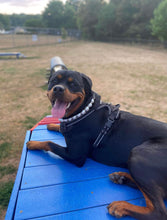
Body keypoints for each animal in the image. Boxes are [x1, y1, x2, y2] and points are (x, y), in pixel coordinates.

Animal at [27, 69, 167, 219]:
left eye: (74, 84)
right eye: (54, 81)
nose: (58, 88)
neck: (84, 111)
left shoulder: (76, 156)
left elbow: (49, 143)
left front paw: (34, 143)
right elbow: (59, 129)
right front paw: (54, 125)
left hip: (138, 154)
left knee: (158, 211)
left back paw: (121, 206)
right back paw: (121, 178)